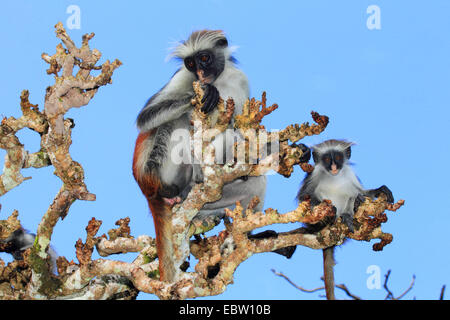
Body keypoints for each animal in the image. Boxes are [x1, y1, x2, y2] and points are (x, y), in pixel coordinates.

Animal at [133, 29, 268, 280]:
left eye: (204, 58)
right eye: (190, 63)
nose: (200, 73)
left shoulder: (240, 80)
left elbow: (242, 128)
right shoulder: (183, 77)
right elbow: (146, 118)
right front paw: (204, 93)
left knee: (256, 183)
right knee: (174, 122)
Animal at [298, 140, 396, 300]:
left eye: (338, 157)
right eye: (327, 159)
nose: (333, 167)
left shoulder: (350, 174)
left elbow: (362, 193)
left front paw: (378, 190)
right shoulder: (314, 174)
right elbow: (304, 197)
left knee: (354, 196)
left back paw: (350, 212)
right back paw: (331, 218)